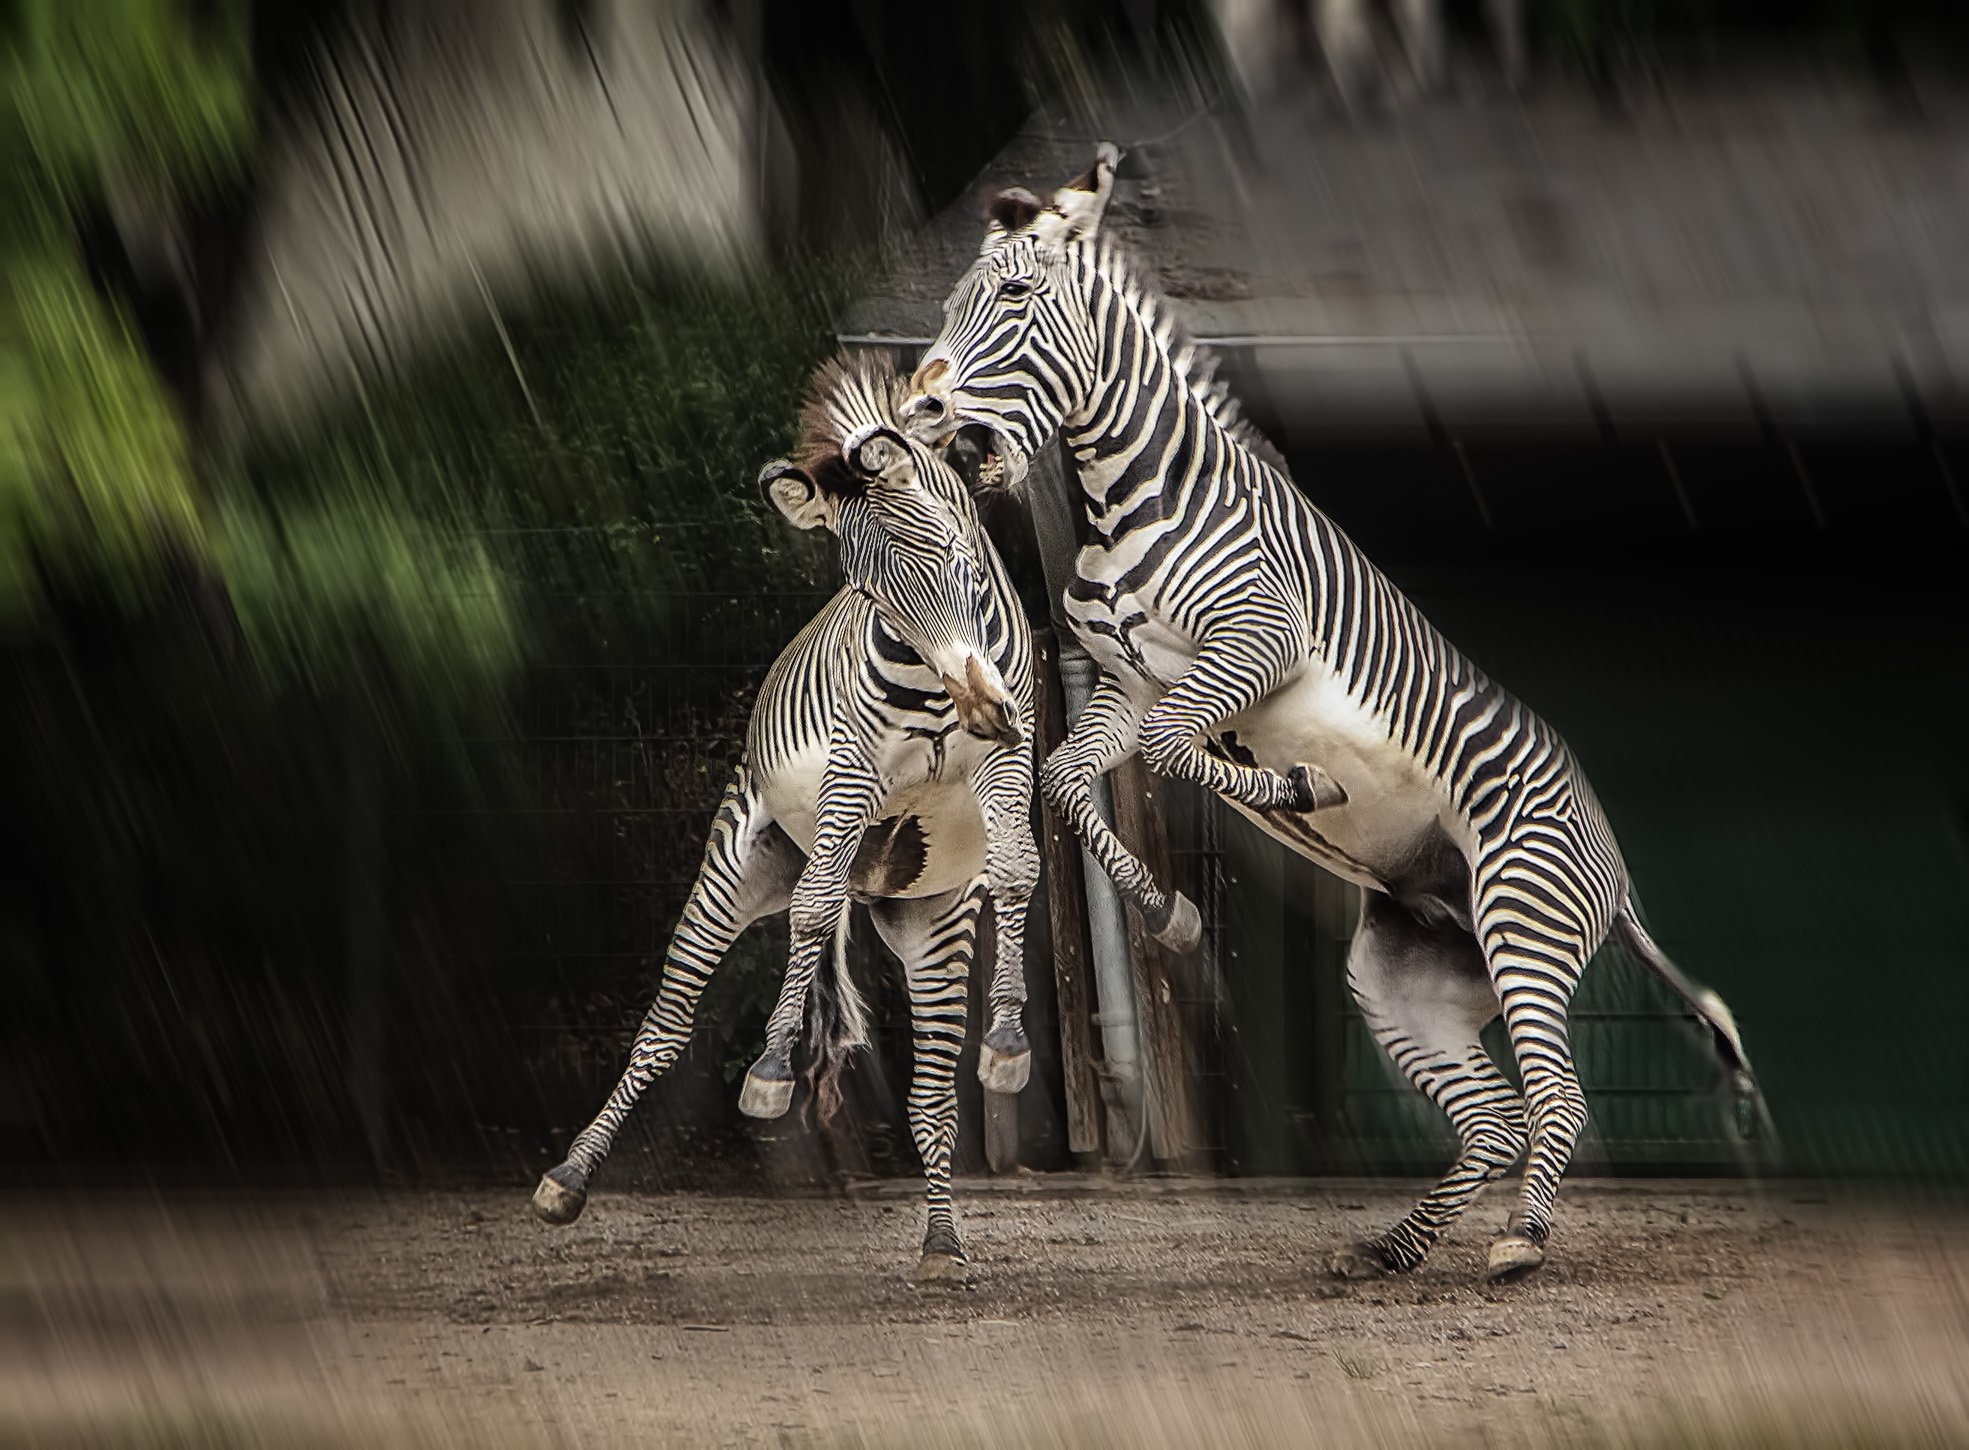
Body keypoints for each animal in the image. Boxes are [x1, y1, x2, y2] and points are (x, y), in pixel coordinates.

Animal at [531, 356, 1039, 1284]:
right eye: (870, 594)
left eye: (956, 560)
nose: (983, 710)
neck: (936, 689)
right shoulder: (851, 773)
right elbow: (806, 914)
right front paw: (768, 1068)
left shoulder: (1005, 764)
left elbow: (1017, 870)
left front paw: (1010, 1044)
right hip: (741, 865)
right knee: (669, 1026)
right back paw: (567, 1178)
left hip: (927, 918)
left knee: (930, 1093)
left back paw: (941, 1242)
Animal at [901, 147, 1764, 1276]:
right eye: (948, 303)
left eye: (1011, 298)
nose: (920, 414)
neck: (1138, 495)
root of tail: (1616, 877)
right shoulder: (1125, 682)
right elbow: (1068, 780)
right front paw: (1169, 913)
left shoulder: (1254, 644)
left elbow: (1177, 751)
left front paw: (1294, 785)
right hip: (1412, 978)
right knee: (1492, 1117)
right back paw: (1394, 1249)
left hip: (1522, 920)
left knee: (1557, 1098)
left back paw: (1522, 1240)